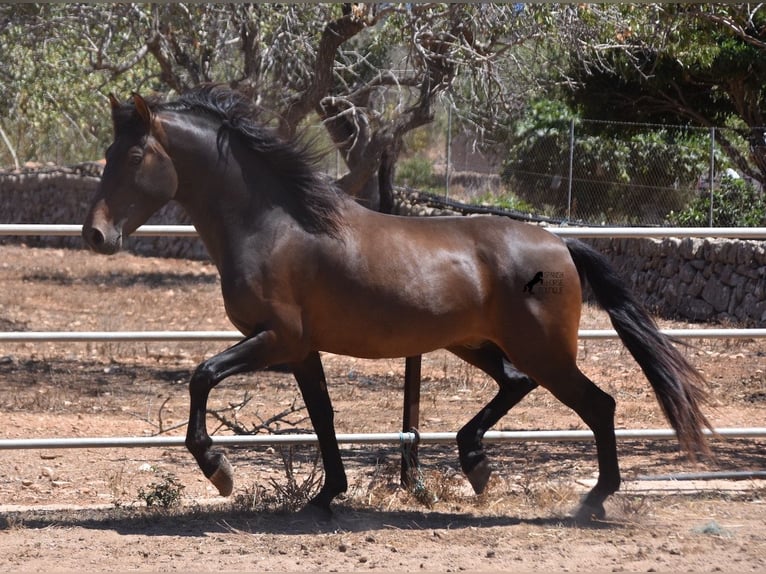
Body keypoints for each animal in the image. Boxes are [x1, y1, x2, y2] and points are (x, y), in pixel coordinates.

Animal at [81, 84, 712, 520]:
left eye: (133, 157)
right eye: (106, 153)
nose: (95, 235)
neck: (275, 227)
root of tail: (559, 243)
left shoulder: (275, 339)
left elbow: (202, 375)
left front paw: (219, 471)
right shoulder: (300, 351)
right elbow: (323, 416)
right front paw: (326, 497)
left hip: (543, 351)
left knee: (598, 405)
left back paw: (593, 500)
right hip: (474, 343)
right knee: (516, 384)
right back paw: (476, 464)